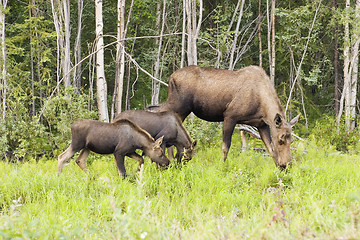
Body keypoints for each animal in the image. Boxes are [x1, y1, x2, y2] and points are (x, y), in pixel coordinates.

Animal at [148, 64, 300, 168]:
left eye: (291, 141)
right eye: (281, 140)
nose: (287, 165)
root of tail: (170, 77)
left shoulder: (261, 124)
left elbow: (270, 149)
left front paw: (278, 170)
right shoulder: (230, 116)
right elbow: (225, 147)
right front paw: (222, 167)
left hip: (180, 107)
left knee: (156, 109)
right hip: (179, 105)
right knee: (159, 112)